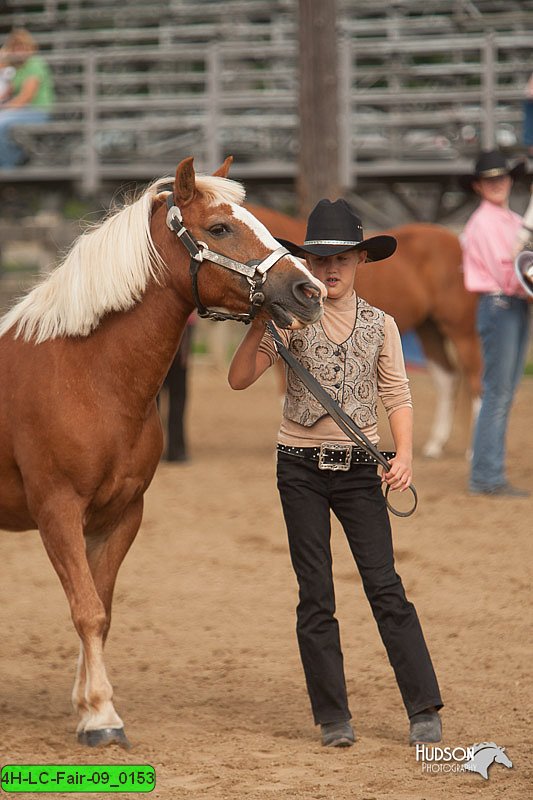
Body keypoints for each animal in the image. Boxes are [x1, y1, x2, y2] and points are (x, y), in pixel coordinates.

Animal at [0, 158, 324, 752]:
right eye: (220, 227)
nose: (307, 290)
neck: (86, 377)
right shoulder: (57, 511)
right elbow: (85, 609)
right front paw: (102, 716)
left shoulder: (121, 514)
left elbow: (100, 609)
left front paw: (86, 705)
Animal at [247, 203, 480, 460]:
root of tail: (456, 242)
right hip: (428, 328)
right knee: (447, 378)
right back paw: (435, 445)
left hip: (461, 330)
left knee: (475, 379)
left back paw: (473, 451)